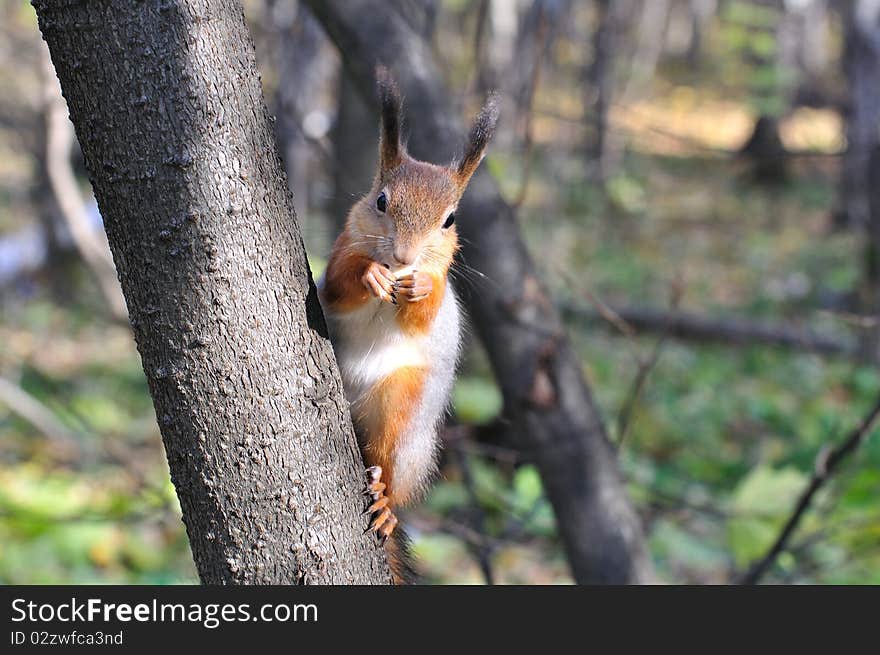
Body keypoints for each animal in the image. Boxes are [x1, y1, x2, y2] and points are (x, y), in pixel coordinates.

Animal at [318, 68, 498, 584]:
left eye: (450, 219)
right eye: (381, 201)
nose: (403, 257)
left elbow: (427, 308)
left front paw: (419, 287)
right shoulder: (341, 250)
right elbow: (340, 282)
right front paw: (371, 275)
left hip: (405, 407)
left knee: (390, 465)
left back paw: (384, 500)